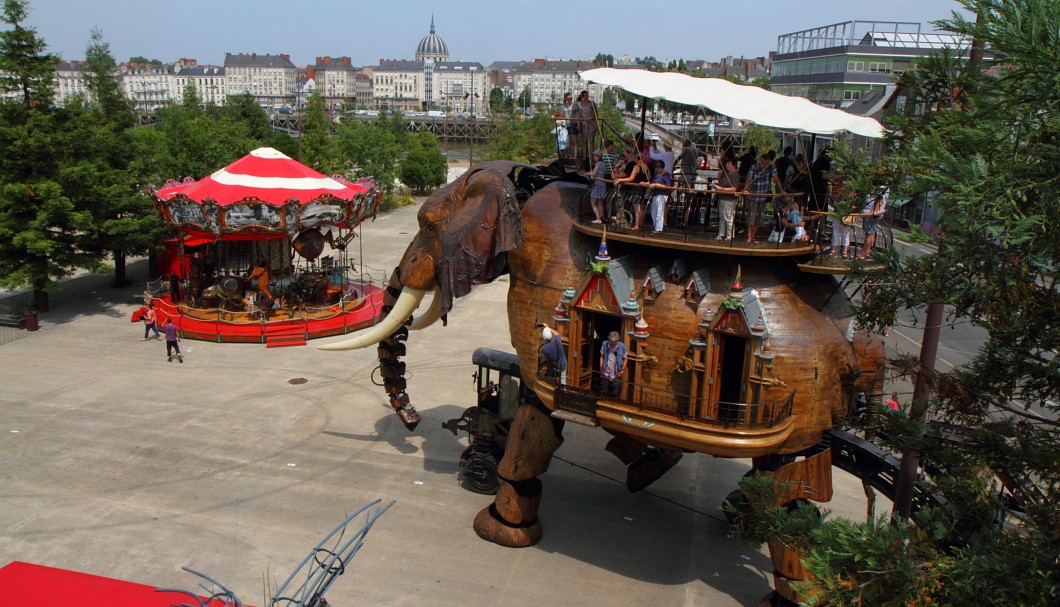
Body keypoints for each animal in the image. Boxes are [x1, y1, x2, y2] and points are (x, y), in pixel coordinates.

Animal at [322, 159, 886, 555]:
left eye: (429, 224)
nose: (413, 419)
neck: (524, 183)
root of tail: (851, 344)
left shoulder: (538, 299)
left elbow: (533, 424)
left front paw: (496, 529)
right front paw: (647, 469)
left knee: (791, 494)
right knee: (787, 482)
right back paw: (742, 517)